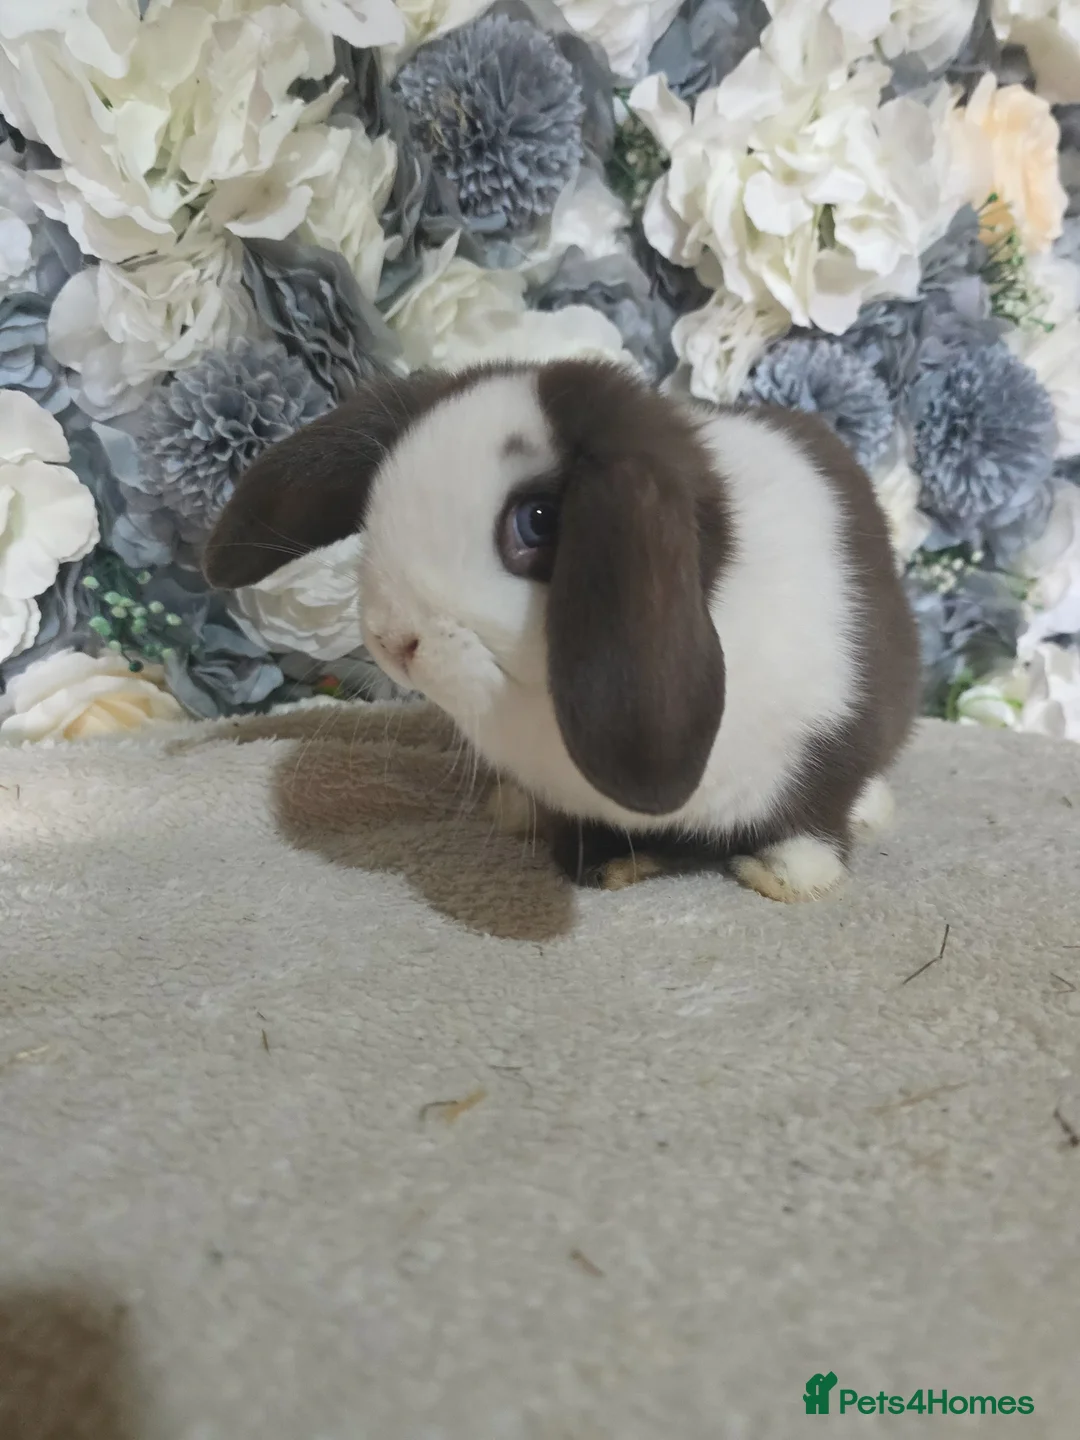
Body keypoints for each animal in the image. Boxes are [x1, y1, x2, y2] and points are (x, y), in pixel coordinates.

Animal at [203, 358, 920, 901]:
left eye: (539, 521)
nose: (393, 639)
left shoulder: (824, 745)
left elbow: (811, 820)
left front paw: (786, 877)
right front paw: (571, 843)